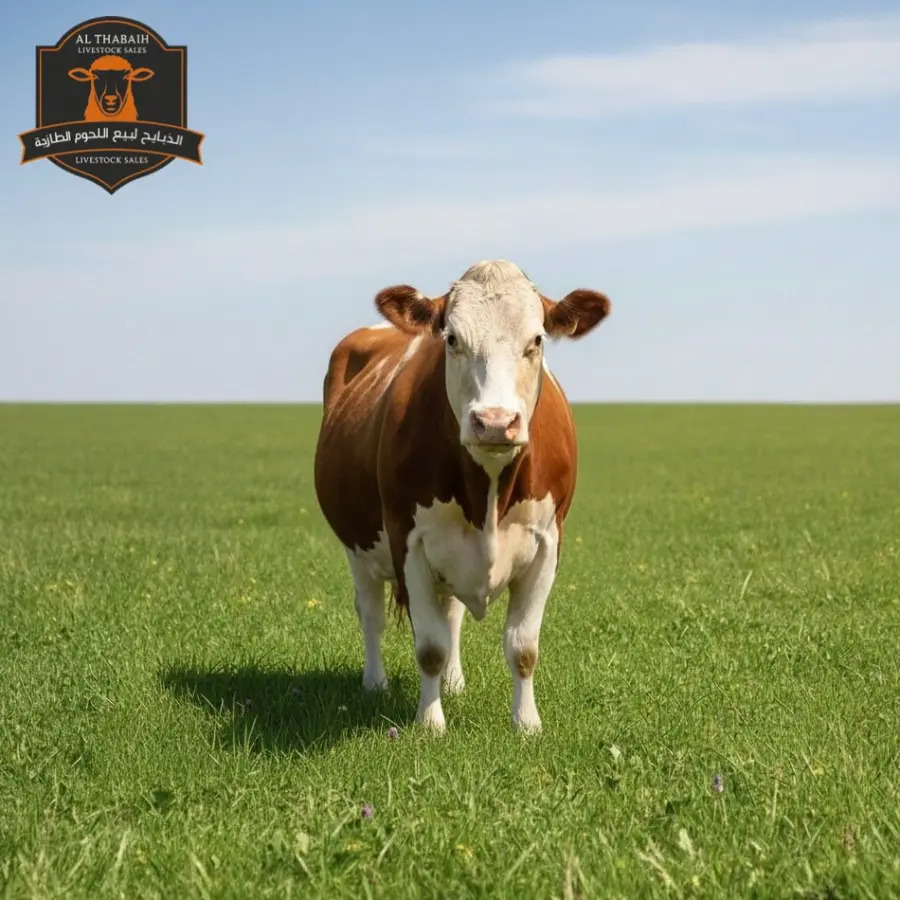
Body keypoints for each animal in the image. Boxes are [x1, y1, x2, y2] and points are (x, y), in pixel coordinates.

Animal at [313, 260, 611, 733]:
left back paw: (453, 683)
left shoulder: (548, 541)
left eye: (537, 340)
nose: (495, 421)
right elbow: (429, 646)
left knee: (451, 612)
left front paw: (526, 723)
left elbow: (523, 646)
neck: (486, 490)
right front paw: (430, 723)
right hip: (357, 545)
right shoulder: (408, 541)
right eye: (452, 339)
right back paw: (375, 683)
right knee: (371, 614)